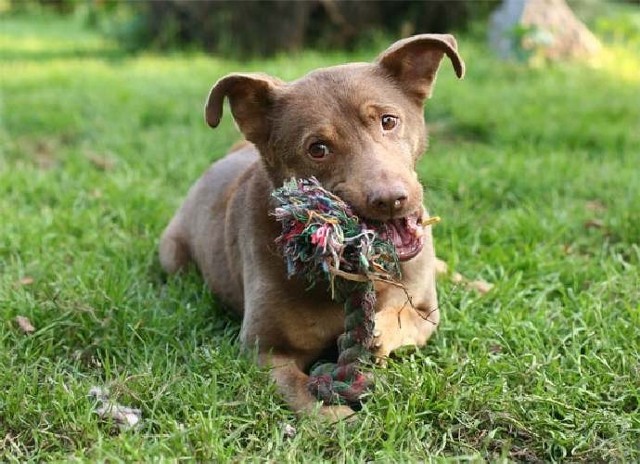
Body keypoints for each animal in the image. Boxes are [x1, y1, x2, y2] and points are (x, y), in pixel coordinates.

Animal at [160, 35, 464, 420]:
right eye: (317, 148)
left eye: (388, 121)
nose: (391, 199)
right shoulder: (264, 351)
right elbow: (300, 390)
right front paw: (338, 419)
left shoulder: (427, 311)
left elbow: (407, 315)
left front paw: (379, 331)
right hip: (172, 256)